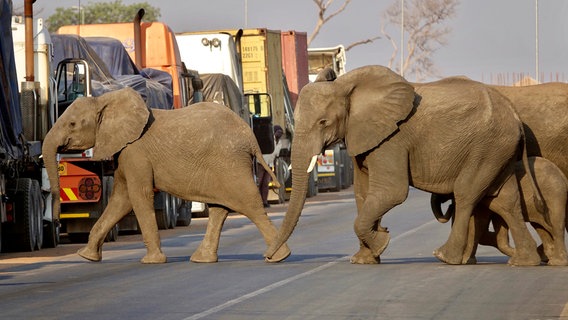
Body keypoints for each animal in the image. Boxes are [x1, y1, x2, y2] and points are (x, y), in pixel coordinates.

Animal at [42, 88, 290, 264]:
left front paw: (152, 261)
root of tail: (251, 137)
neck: (104, 100)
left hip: (230, 162)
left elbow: (137, 196)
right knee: (220, 208)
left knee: (249, 204)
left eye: (72, 124)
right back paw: (202, 259)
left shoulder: (135, 151)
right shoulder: (125, 152)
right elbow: (121, 199)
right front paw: (86, 256)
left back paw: (278, 256)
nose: (56, 222)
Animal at [264, 64, 544, 264]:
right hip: (498, 150)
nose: (270, 257)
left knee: (466, 194)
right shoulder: (364, 136)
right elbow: (363, 193)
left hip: (486, 146)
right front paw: (365, 259)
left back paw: (446, 257)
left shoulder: (392, 139)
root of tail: (515, 114)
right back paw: (525, 261)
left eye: (323, 122)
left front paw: (381, 243)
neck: (346, 85)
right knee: (504, 199)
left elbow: (391, 192)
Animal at [432, 157, 564, 264]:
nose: (449, 206)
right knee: (543, 226)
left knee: (556, 224)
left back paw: (554, 260)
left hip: (554, 196)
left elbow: (480, 221)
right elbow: (491, 222)